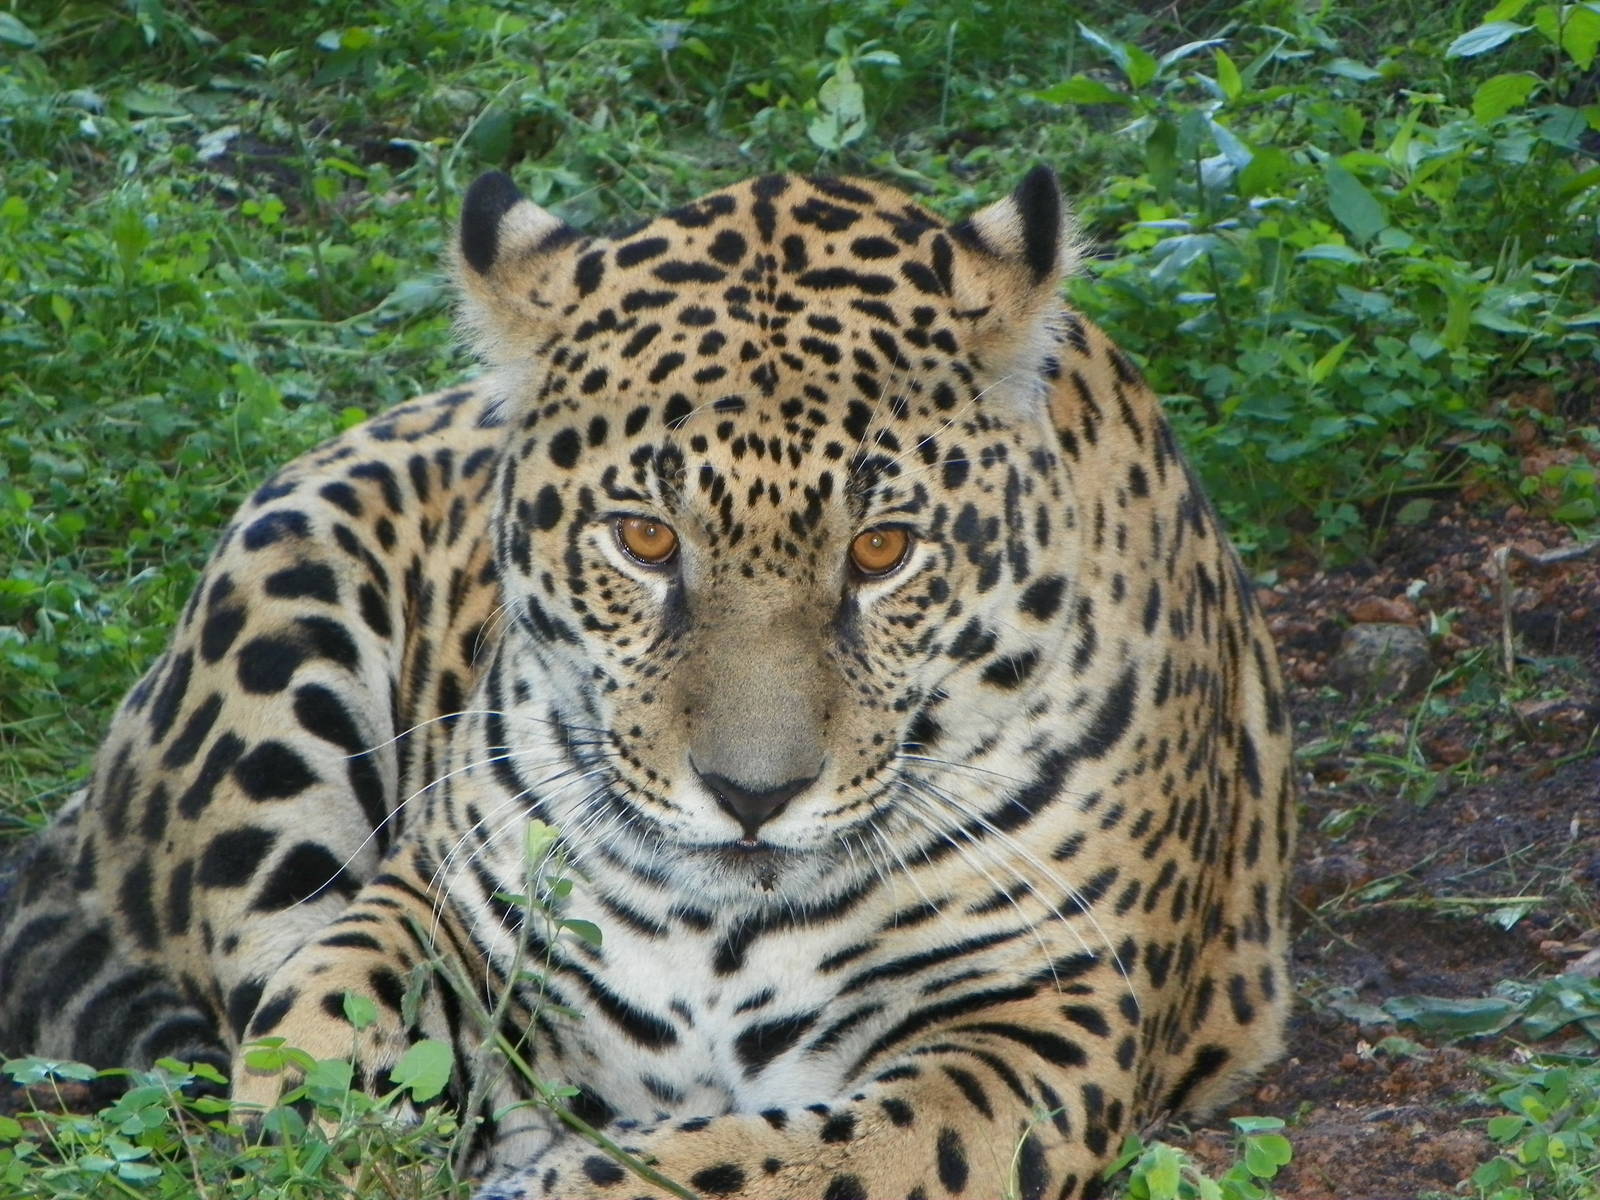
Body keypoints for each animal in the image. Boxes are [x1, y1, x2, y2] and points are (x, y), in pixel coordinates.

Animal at [0, 166, 1294, 1200]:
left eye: (882, 551)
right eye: (645, 540)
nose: (753, 796)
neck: (723, 931)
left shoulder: (1041, 1024)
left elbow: (782, 1162)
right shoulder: (442, 898)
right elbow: (323, 1009)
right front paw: (332, 1138)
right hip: (284, 608)